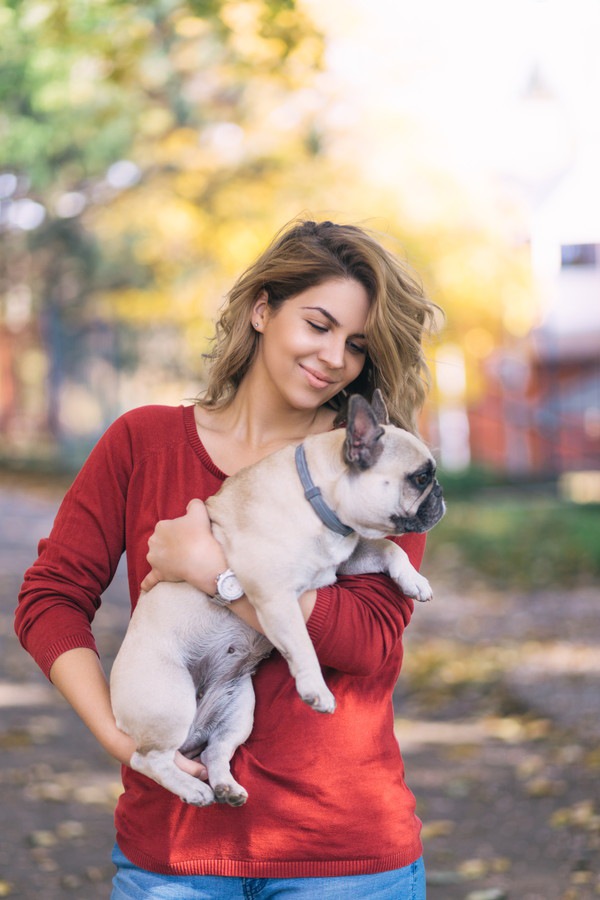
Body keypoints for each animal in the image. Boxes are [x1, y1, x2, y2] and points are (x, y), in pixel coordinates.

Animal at [109, 394, 446, 808]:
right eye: (420, 479)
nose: (441, 493)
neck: (318, 498)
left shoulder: (346, 559)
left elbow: (386, 548)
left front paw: (414, 581)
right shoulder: (274, 593)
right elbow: (301, 643)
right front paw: (316, 690)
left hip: (239, 710)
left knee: (215, 751)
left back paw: (226, 787)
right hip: (170, 698)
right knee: (148, 759)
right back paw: (193, 789)